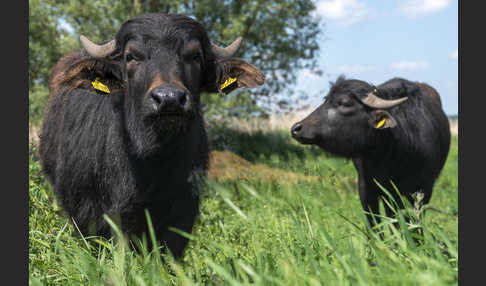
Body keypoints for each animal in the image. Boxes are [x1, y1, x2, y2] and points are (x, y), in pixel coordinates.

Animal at [38, 13, 266, 258]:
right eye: (131, 56)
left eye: (195, 56)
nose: (169, 99)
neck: (156, 161)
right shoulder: (116, 215)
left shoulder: (184, 212)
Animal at [290, 76, 450, 228]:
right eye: (326, 100)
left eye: (345, 103)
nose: (296, 128)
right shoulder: (367, 188)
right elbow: (376, 223)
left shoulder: (423, 189)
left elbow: (412, 222)